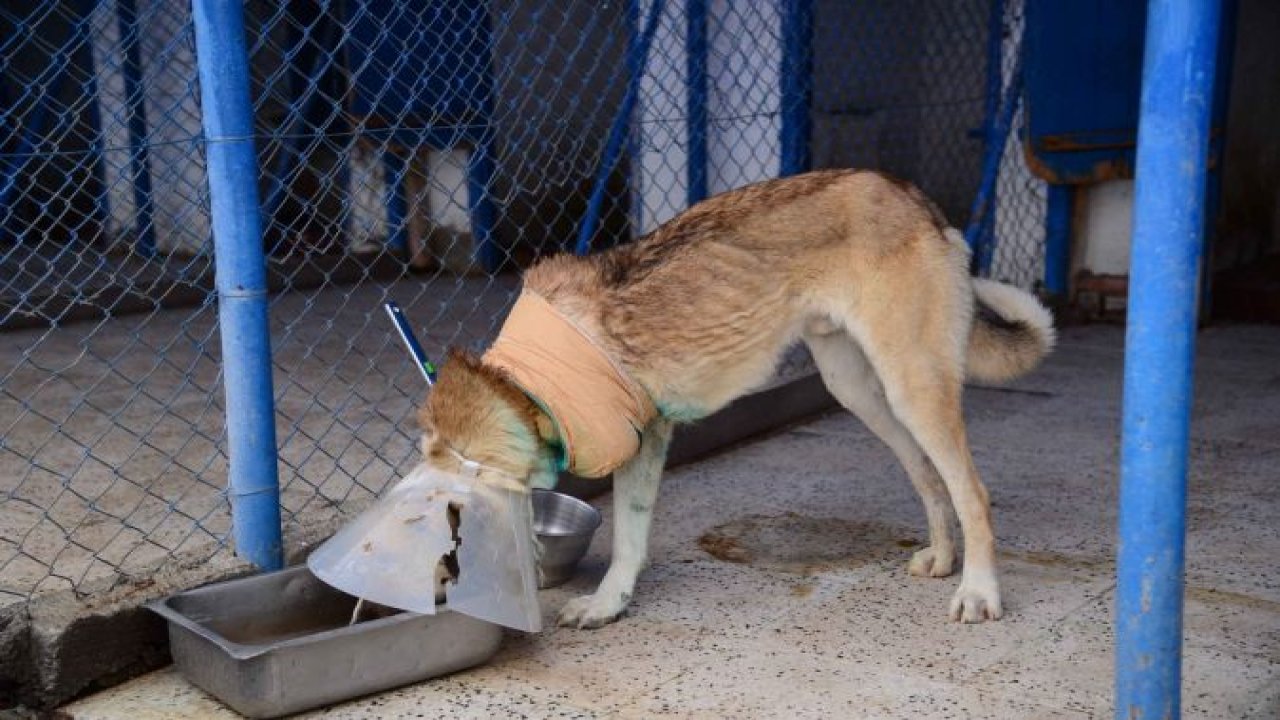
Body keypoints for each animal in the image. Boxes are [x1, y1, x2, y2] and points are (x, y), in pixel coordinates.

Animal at [414, 166, 1054, 622]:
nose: (430, 590)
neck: (524, 385)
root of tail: (912, 196)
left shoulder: (646, 436)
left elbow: (626, 540)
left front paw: (605, 603)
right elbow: (630, 536)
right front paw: (611, 604)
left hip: (913, 387)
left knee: (972, 492)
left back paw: (979, 591)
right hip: (863, 394)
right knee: (929, 478)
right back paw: (945, 559)